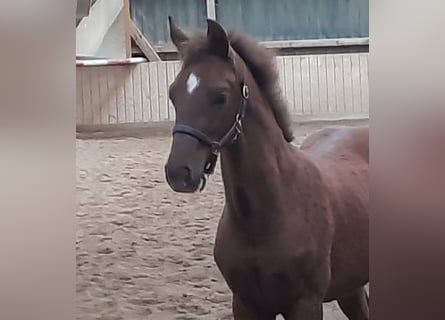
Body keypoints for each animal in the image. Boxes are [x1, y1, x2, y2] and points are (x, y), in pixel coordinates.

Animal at [163, 17, 368, 320]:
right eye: (172, 94)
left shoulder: (305, 303)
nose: (179, 173)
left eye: (220, 96)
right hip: (350, 286)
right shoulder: (246, 304)